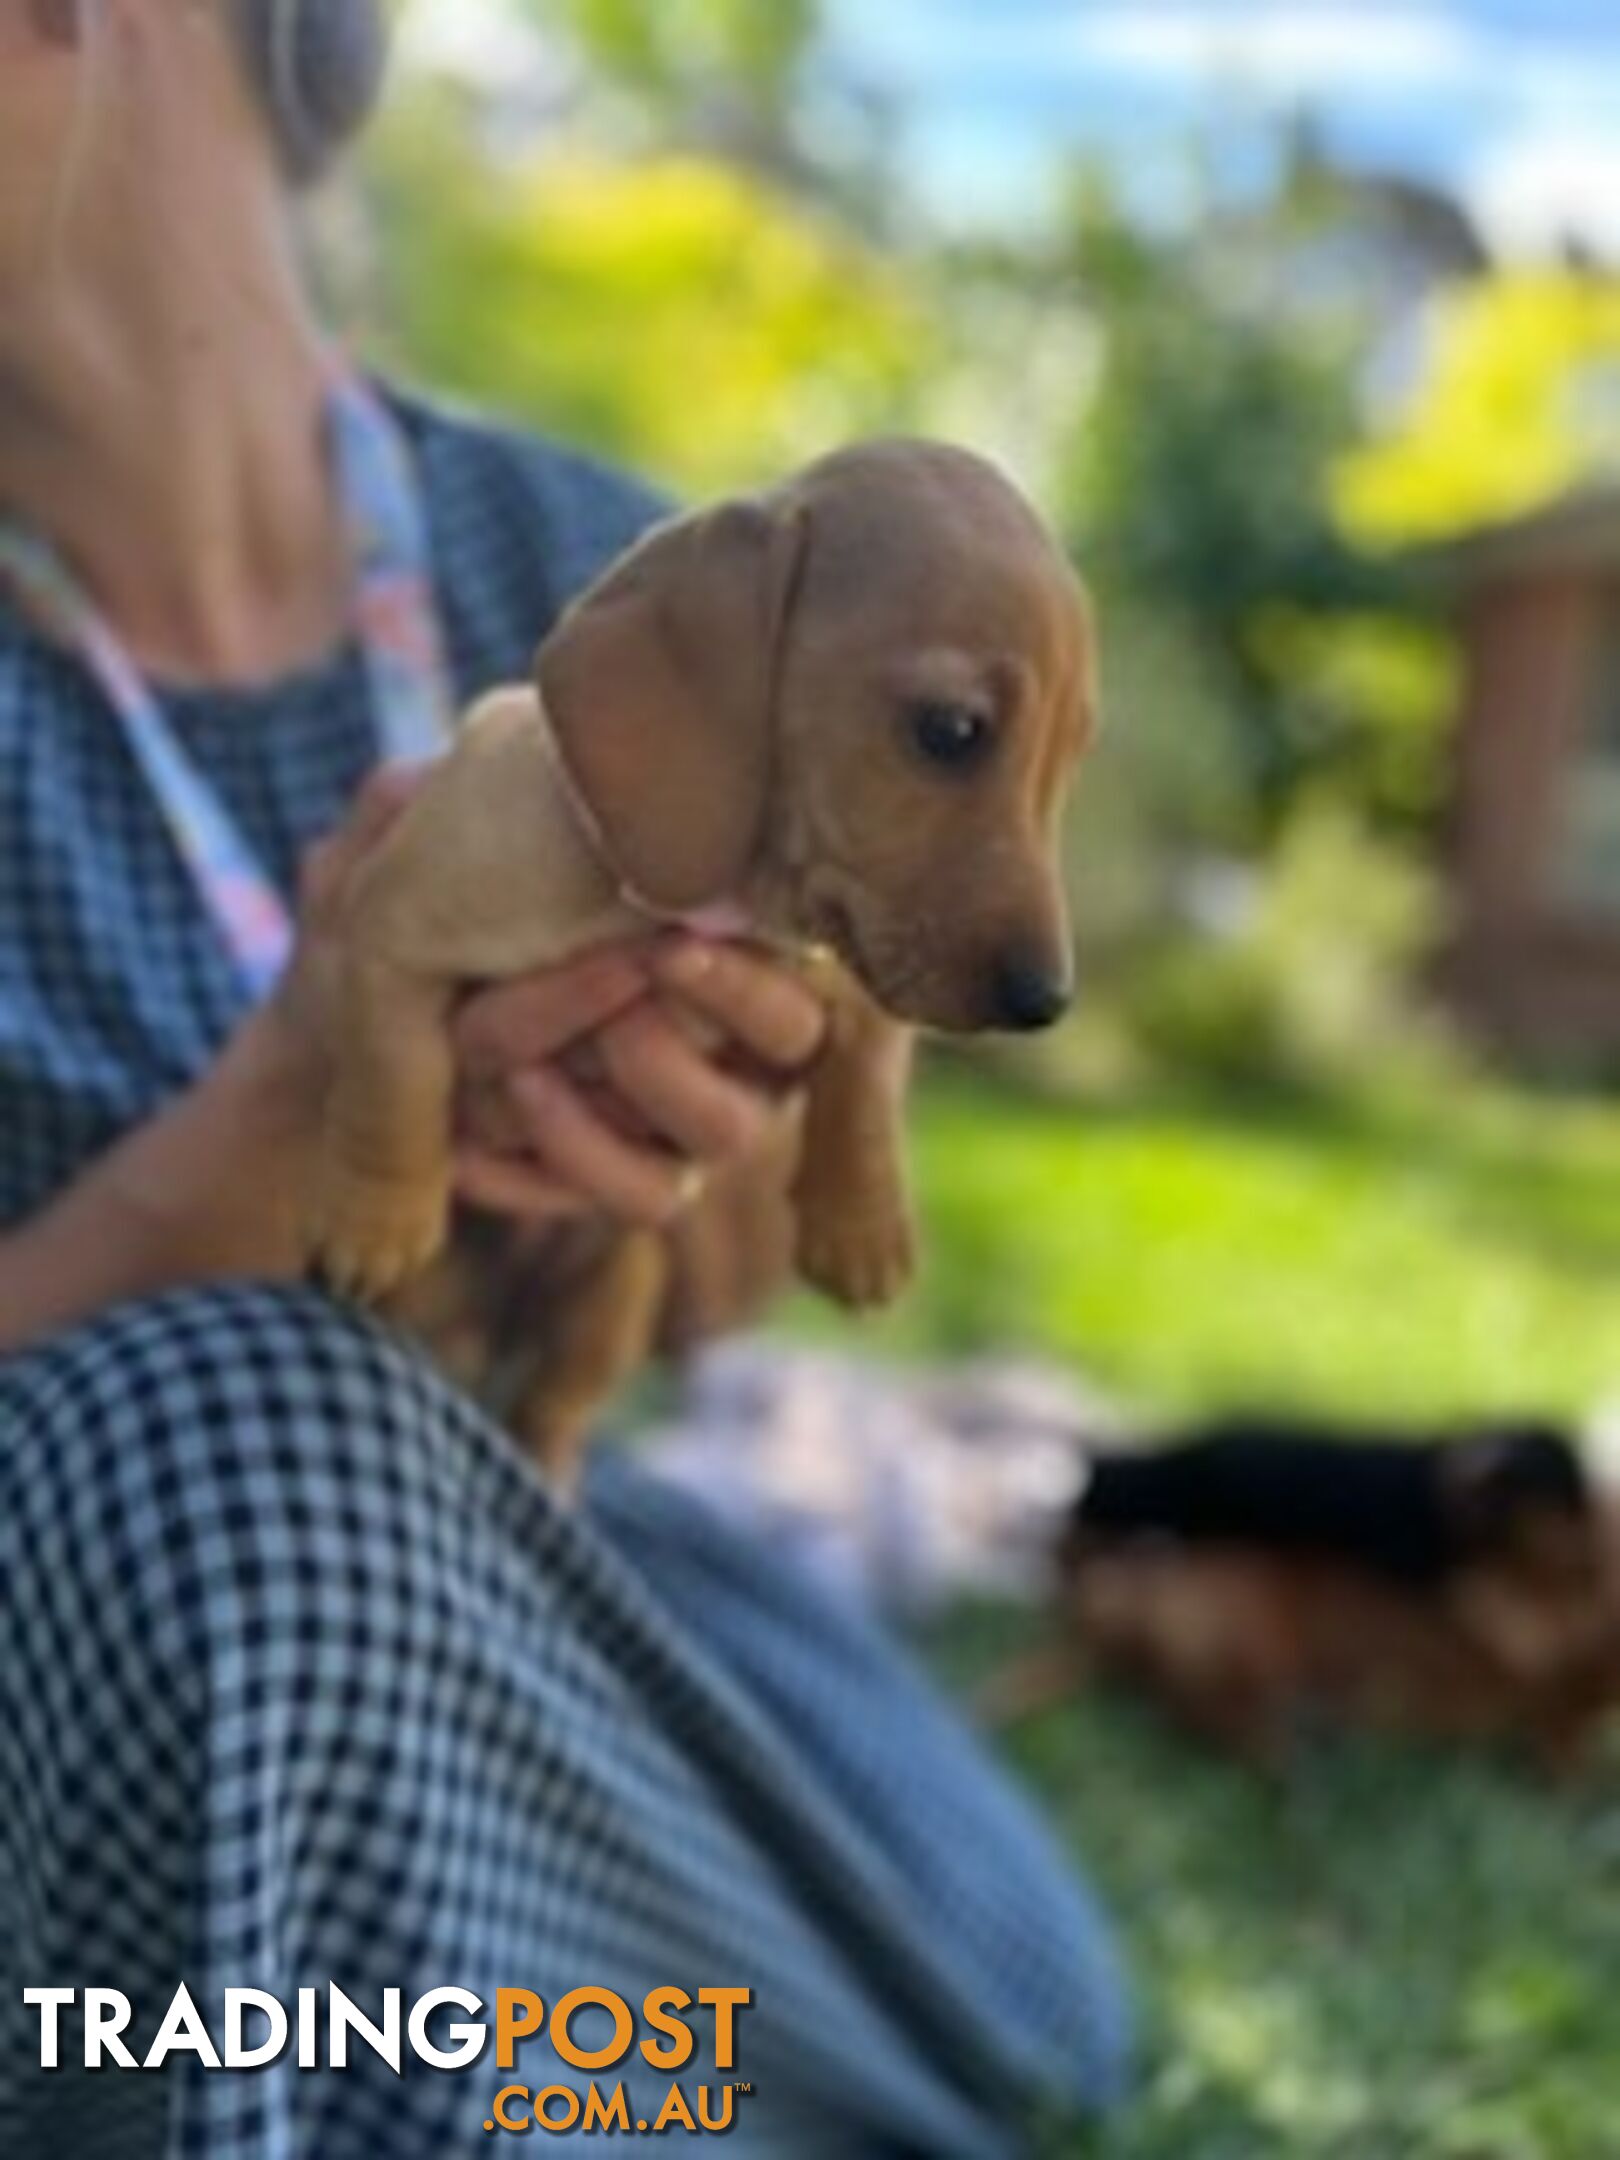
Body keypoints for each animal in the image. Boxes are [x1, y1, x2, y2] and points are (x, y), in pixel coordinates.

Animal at [302, 438, 1092, 1486]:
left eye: (1070, 758)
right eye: (952, 729)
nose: (1047, 1001)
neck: (718, 903)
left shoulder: (855, 974)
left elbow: (863, 1085)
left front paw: (861, 1222)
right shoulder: (388, 928)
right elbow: (395, 1074)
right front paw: (376, 1217)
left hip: (616, 1292)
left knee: (553, 1414)